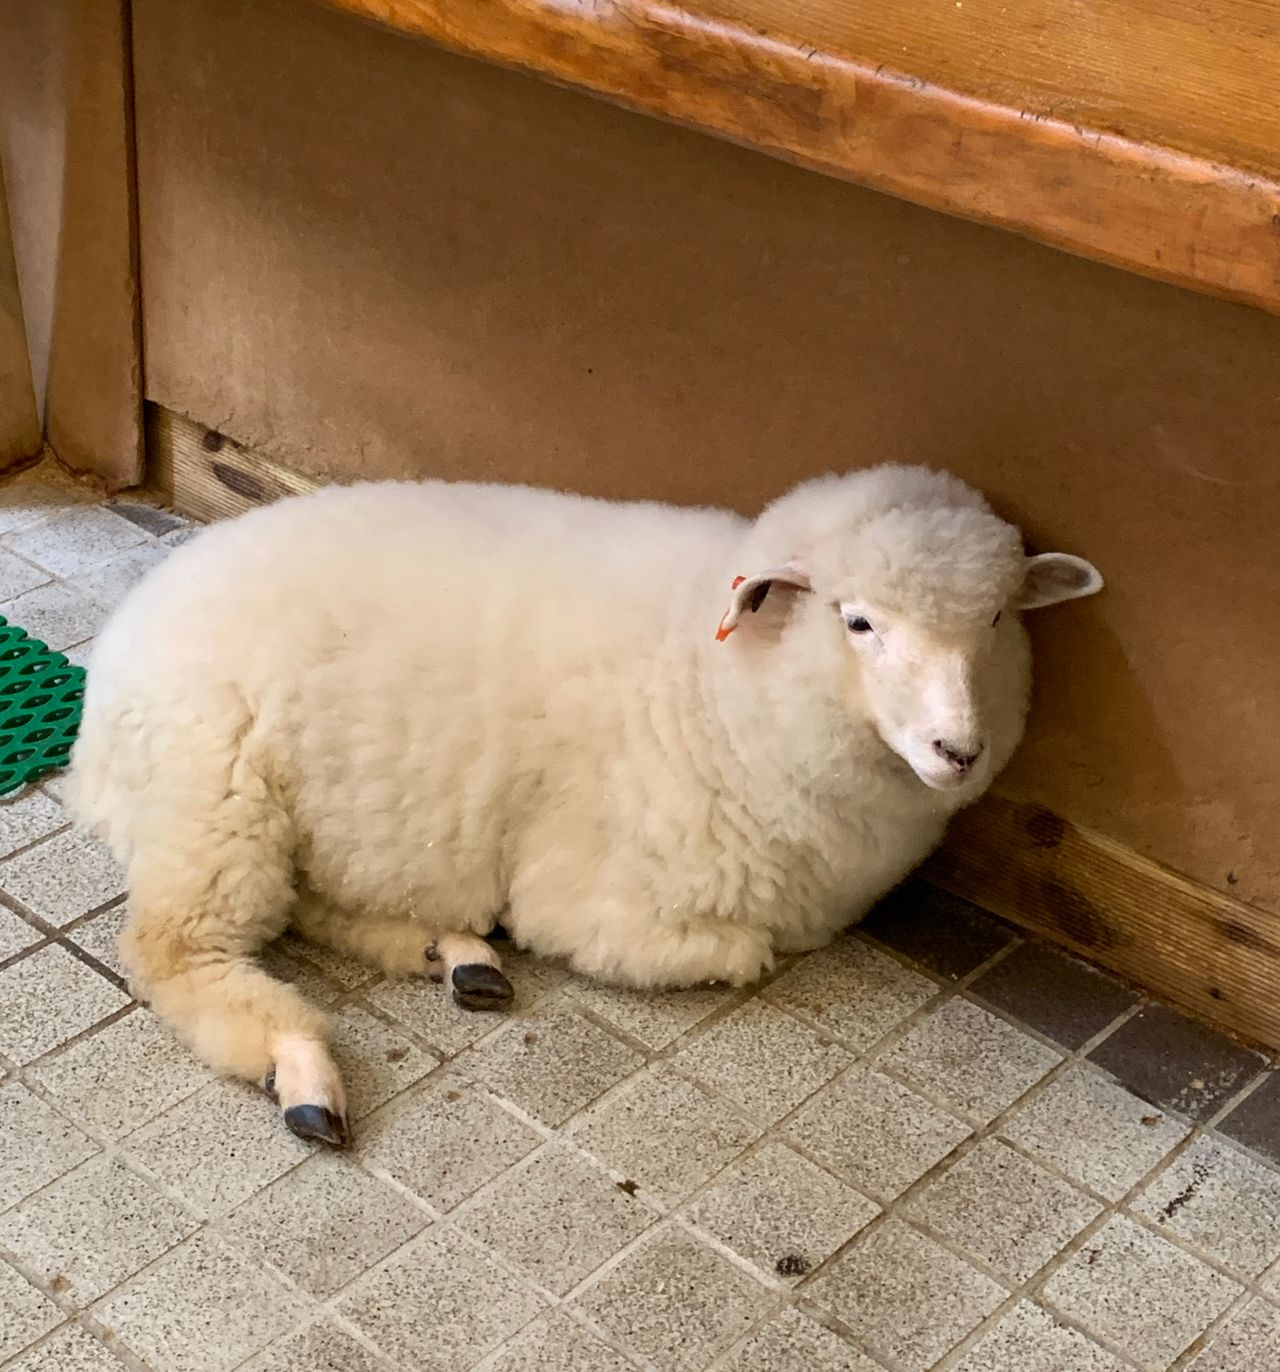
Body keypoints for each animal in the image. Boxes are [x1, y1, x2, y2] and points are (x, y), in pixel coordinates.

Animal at [67, 464, 1102, 1145]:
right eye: (858, 622)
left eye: (998, 619)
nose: (957, 751)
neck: (717, 684)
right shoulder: (599, 906)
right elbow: (744, 953)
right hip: (213, 799)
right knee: (174, 949)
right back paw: (302, 1067)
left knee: (316, 902)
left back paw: (452, 953)